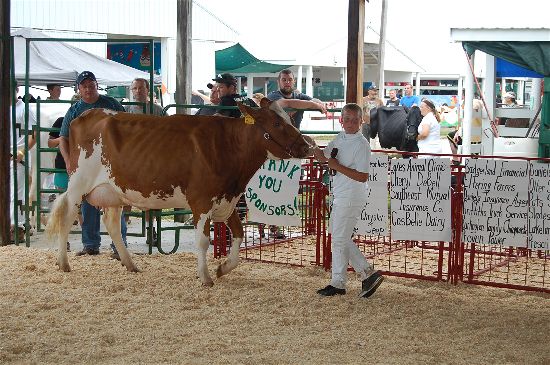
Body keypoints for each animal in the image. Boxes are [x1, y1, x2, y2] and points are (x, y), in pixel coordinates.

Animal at [46, 98, 314, 286]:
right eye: (277, 123)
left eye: (290, 119)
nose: (306, 146)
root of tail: (88, 114)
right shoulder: (201, 201)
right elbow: (203, 241)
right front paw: (205, 277)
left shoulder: (228, 200)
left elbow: (238, 235)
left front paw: (223, 268)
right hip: (79, 183)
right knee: (67, 217)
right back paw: (63, 263)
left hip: (114, 192)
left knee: (111, 224)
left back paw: (130, 264)